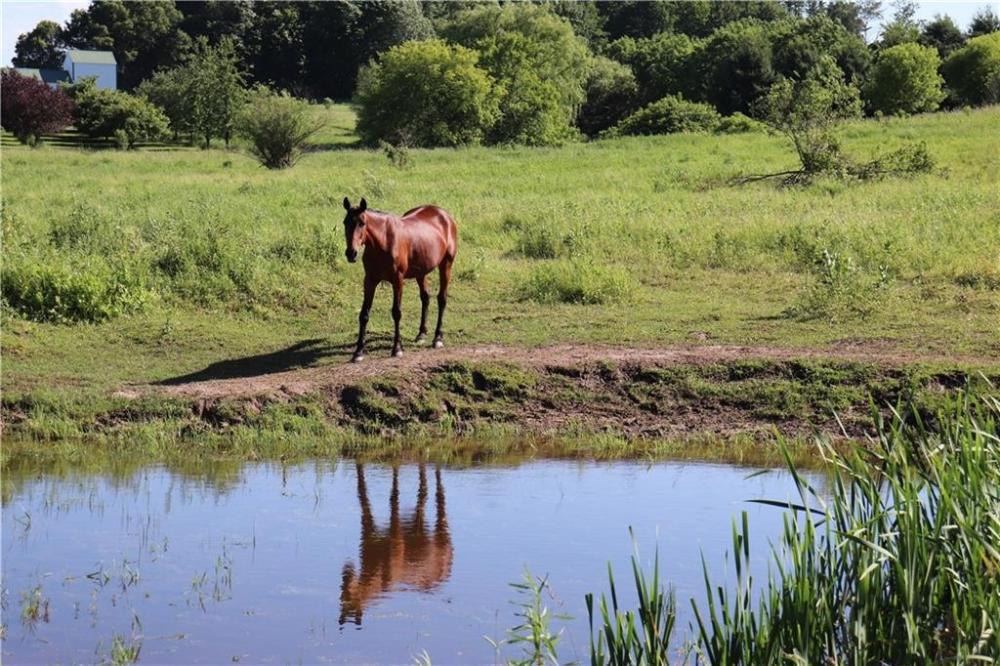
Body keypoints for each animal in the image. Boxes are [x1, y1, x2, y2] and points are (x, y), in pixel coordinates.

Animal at [340, 197, 458, 360]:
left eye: (362, 223)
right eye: (345, 222)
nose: (351, 253)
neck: (384, 242)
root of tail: (444, 215)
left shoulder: (398, 281)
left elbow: (396, 312)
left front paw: (397, 348)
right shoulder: (369, 281)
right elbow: (364, 314)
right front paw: (358, 352)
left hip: (446, 265)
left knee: (442, 299)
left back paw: (438, 338)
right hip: (421, 272)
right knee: (425, 298)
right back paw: (421, 334)